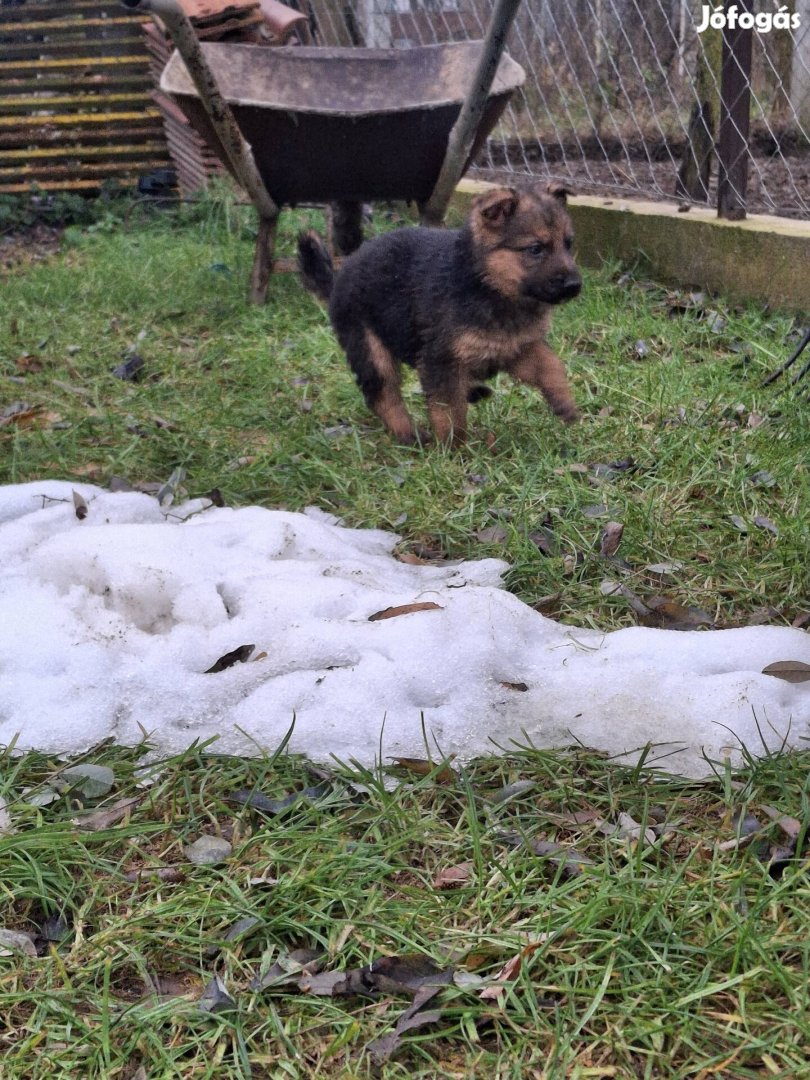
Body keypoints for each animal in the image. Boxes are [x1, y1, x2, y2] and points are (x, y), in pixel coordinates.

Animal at [298, 183, 583, 444]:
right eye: (535, 249)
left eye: (568, 244)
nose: (574, 286)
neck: (488, 284)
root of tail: (337, 279)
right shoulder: (440, 359)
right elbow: (448, 409)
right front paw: (454, 448)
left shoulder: (517, 347)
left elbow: (550, 364)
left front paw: (564, 402)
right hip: (369, 347)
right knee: (382, 395)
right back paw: (409, 434)